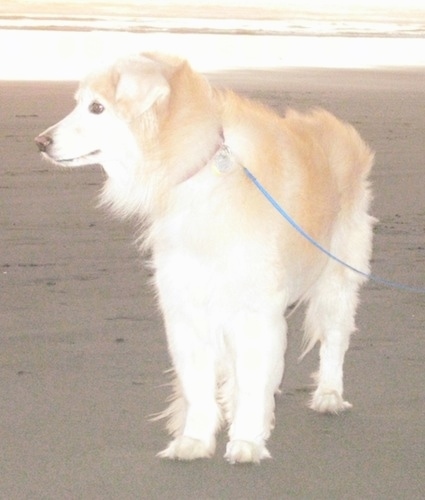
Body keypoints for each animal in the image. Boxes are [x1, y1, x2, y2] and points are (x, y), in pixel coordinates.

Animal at [34, 52, 372, 462]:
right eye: (80, 103)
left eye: (97, 108)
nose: (40, 142)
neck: (199, 174)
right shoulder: (185, 306)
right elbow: (198, 386)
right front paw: (194, 441)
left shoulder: (254, 310)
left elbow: (253, 382)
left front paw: (246, 442)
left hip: (338, 280)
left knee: (334, 341)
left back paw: (328, 396)